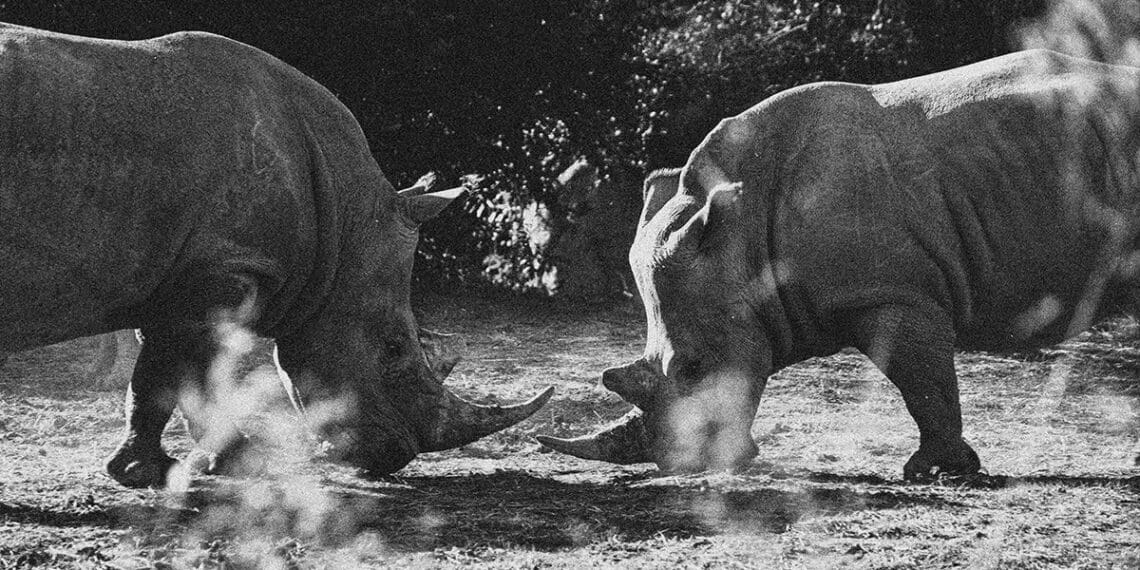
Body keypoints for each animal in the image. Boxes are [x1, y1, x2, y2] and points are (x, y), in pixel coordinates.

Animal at [0, 23, 551, 488]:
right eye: (395, 347)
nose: (395, 457)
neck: (344, 219)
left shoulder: (191, 275)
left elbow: (180, 372)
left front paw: (223, 464)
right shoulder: (225, 268)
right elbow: (180, 372)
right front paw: (156, 472)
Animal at [540, 49, 1140, 479]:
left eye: (690, 368)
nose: (681, 468)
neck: (744, 242)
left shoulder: (891, 293)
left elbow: (922, 384)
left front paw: (933, 472)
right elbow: (923, 383)